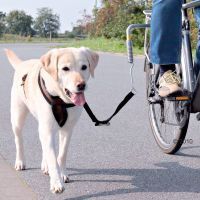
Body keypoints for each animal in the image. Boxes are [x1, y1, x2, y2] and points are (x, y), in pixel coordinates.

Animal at [5, 47, 99, 193]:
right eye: (65, 68)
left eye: (84, 67)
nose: (81, 85)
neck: (61, 100)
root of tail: (23, 63)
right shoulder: (47, 129)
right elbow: (53, 159)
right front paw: (56, 182)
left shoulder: (67, 130)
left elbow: (61, 155)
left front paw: (62, 174)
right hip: (17, 117)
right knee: (19, 140)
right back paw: (20, 162)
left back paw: (45, 165)